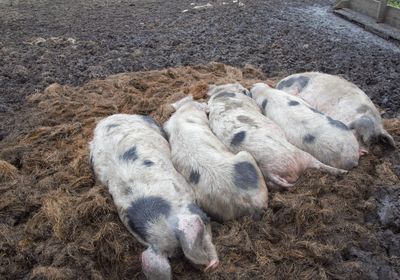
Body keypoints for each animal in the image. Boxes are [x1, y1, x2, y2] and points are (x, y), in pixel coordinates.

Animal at [206, 82, 346, 189]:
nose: (247, 88)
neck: (221, 96)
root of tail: (270, 171)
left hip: (272, 177)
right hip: (300, 154)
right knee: (319, 164)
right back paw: (343, 172)